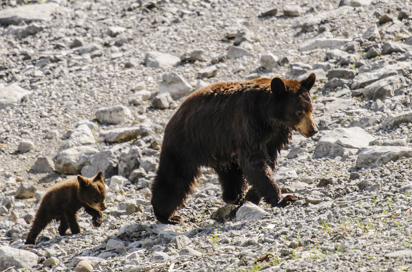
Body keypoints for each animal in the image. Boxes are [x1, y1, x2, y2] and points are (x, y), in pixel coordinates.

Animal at [151, 73, 318, 224]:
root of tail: (174, 115)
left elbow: (267, 163)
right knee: (174, 177)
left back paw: (235, 197)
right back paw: (166, 216)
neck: (269, 117)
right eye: (299, 112)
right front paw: (283, 199)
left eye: (311, 109)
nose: (313, 130)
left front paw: (253, 196)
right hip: (186, 143)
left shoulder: (275, 136)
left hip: (221, 150)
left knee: (231, 174)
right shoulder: (249, 125)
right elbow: (254, 163)